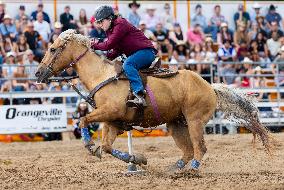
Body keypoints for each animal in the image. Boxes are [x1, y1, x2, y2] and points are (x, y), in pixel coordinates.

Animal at [35, 29, 272, 174]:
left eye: (53, 49)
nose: (38, 73)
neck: (102, 75)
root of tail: (210, 87)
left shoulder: (109, 112)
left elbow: (84, 120)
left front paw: (90, 145)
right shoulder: (111, 121)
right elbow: (108, 147)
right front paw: (137, 160)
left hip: (194, 121)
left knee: (199, 148)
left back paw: (192, 170)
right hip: (176, 123)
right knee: (187, 150)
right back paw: (173, 169)